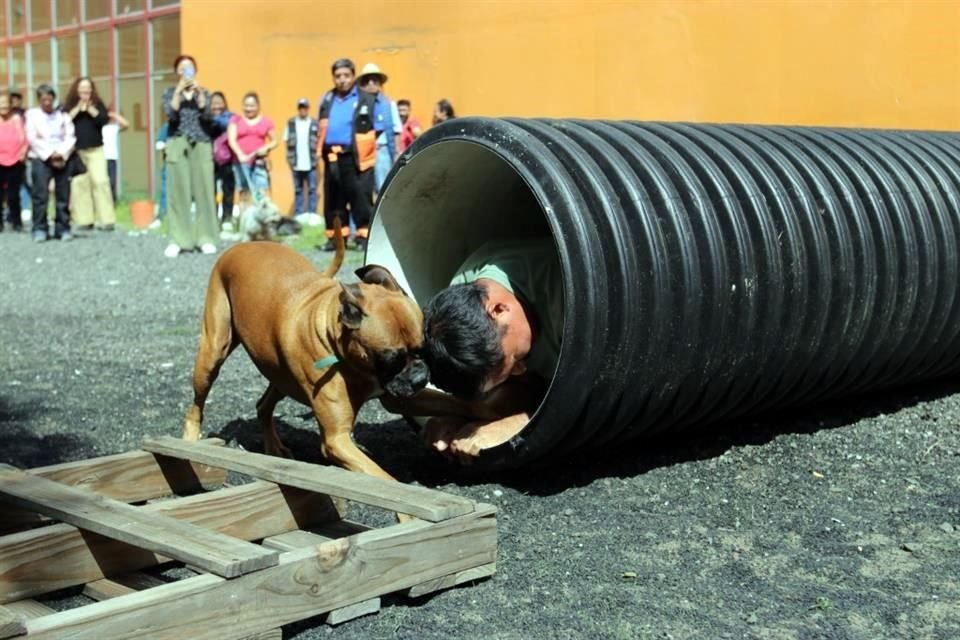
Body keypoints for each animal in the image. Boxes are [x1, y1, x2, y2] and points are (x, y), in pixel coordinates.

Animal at [181, 222, 436, 482]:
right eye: (390, 359)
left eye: (423, 348)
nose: (420, 378)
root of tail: (243, 245)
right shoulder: (337, 440)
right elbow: (383, 478)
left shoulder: (396, 397)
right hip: (212, 356)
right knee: (196, 407)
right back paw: (189, 444)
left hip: (280, 375)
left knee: (263, 406)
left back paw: (273, 447)